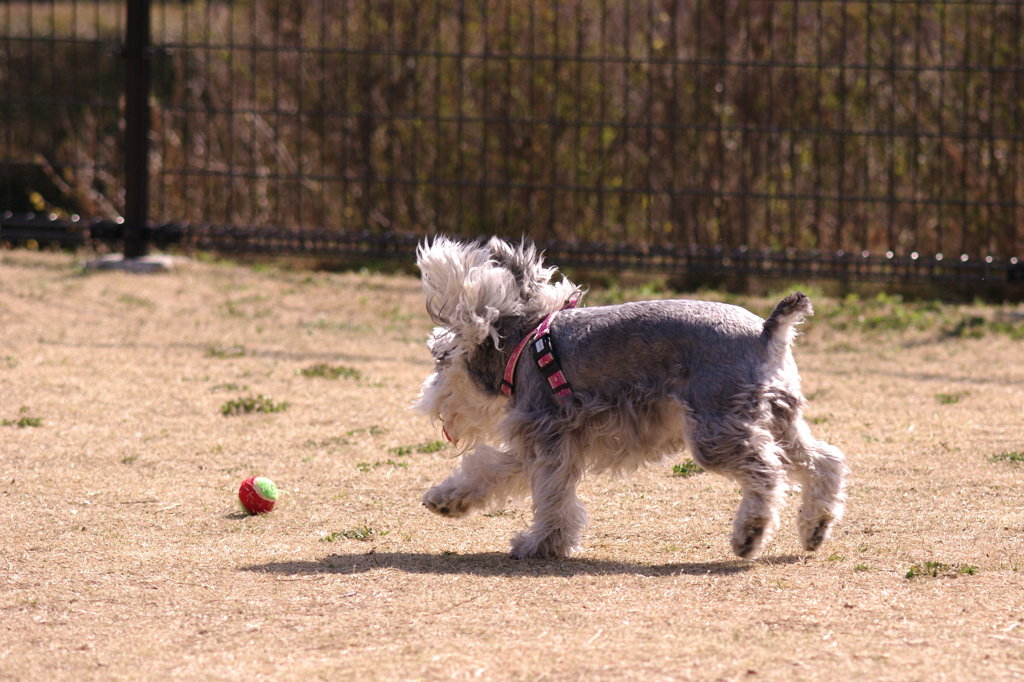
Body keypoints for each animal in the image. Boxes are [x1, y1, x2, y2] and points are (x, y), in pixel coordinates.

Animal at [415, 233, 847, 557]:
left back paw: (750, 534)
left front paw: (541, 544)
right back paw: (815, 527)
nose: (425, 402)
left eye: (441, 360)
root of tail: (767, 331)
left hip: (716, 430)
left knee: (768, 472)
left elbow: (552, 498)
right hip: (777, 420)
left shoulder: (548, 436)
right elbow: (492, 469)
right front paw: (448, 498)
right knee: (824, 461)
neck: (524, 346)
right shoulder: (541, 441)